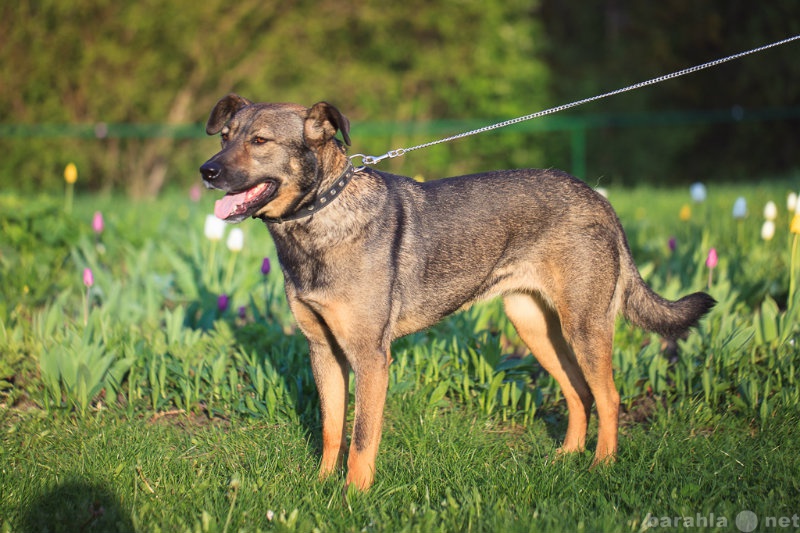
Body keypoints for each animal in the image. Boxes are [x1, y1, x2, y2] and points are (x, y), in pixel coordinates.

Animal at [198, 94, 712, 490]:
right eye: (225, 137)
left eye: (260, 141)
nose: (206, 171)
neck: (321, 215)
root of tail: (599, 199)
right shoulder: (322, 349)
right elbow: (331, 428)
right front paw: (322, 486)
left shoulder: (369, 356)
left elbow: (361, 438)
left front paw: (352, 497)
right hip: (534, 326)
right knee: (577, 393)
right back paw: (565, 458)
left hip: (583, 326)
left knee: (609, 397)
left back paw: (601, 466)